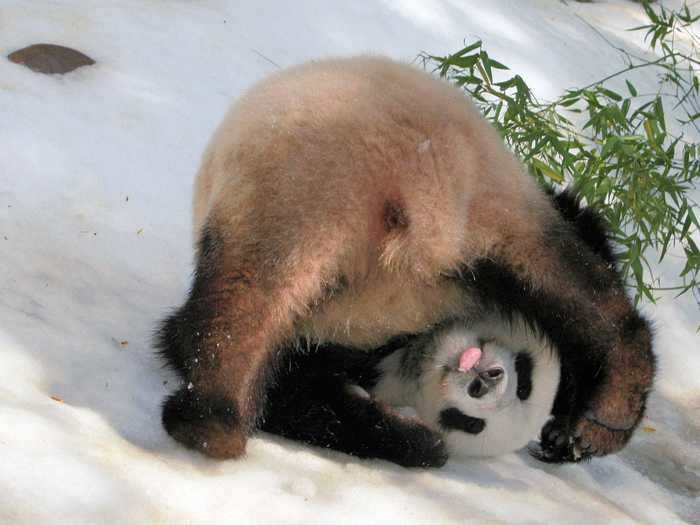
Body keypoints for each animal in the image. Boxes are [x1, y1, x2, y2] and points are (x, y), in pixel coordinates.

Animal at [157, 55, 656, 464]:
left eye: (471, 421)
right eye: (526, 377)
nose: (484, 380)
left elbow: (301, 394)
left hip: (295, 207)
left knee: (246, 298)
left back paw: (211, 417)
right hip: (457, 192)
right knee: (571, 288)